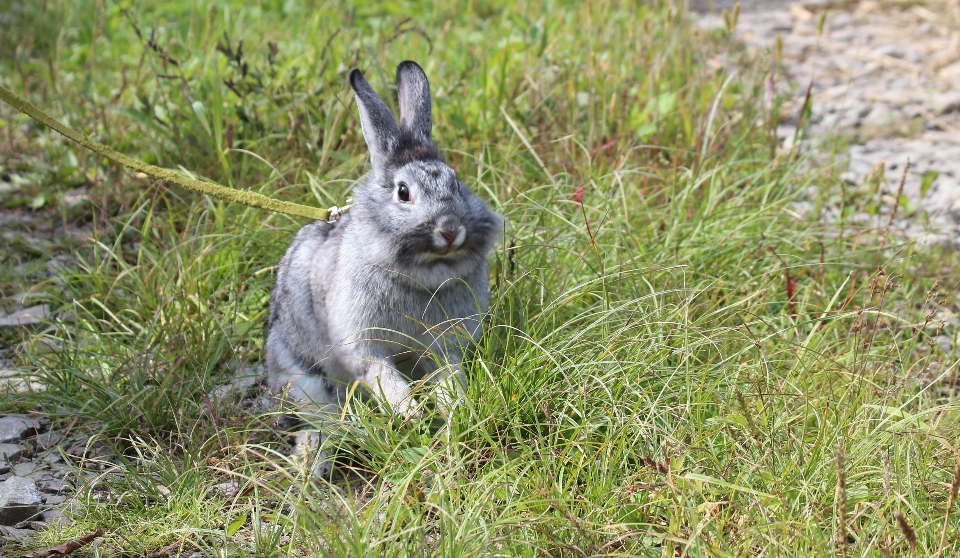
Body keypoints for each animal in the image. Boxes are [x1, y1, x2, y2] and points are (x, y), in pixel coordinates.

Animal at [262, 62, 502, 482]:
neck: (422, 273)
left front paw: (456, 408)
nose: (450, 229)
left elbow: (447, 377)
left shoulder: (444, 347)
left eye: (456, 183)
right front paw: (410, 413)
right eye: (403, 192)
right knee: (317, 425)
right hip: (304, 380)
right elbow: (380, 373)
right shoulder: (362, 343)